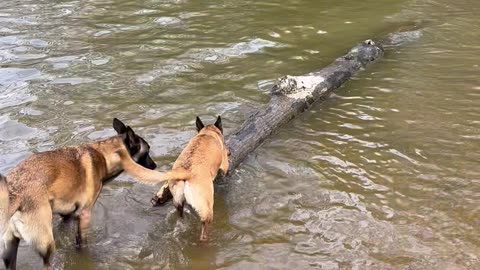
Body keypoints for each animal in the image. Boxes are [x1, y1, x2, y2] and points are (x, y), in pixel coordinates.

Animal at [0, 118, 177, 270]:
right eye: (147, 151)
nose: (154, 165)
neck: (105, 155)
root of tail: (13, 196)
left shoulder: (67, 215)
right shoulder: (84, 215)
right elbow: (82, 244)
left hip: (10, 249)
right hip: (46, 244)